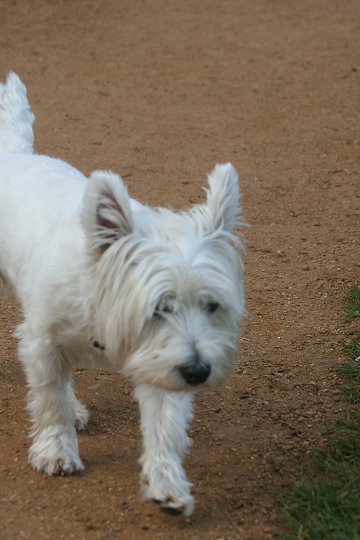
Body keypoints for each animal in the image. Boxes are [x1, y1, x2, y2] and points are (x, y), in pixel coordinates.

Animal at [0, 71, 245, 516]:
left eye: (211, 306)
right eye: (158, 307)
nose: (199, 372)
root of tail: (14, 150)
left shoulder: (162, 360)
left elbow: (165, 423)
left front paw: (167, 480)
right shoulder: (41, 341)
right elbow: (50, 399)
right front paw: (56, 450)